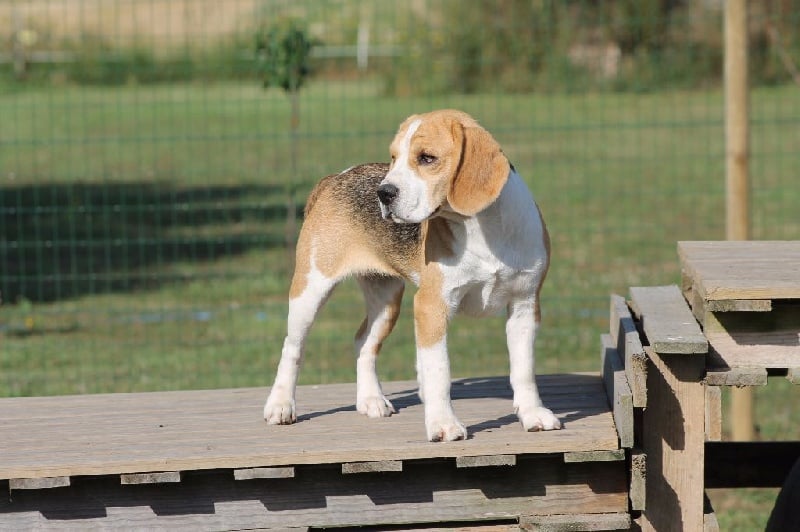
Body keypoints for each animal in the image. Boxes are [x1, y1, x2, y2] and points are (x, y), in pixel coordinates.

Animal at [264, 108, 564, 440]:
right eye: (394, 157)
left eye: (427, 158)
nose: (383, 193)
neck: (482, 230)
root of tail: (336, 177)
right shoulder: (431, 306)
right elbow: (439, 371)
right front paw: (444, 424)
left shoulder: (525, 304)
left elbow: (524, 370)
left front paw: (533, 414)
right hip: (310, 290)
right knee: (293, 348)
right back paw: (280, 406)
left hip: (387, 301)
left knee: (363, 342)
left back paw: (371, 400)